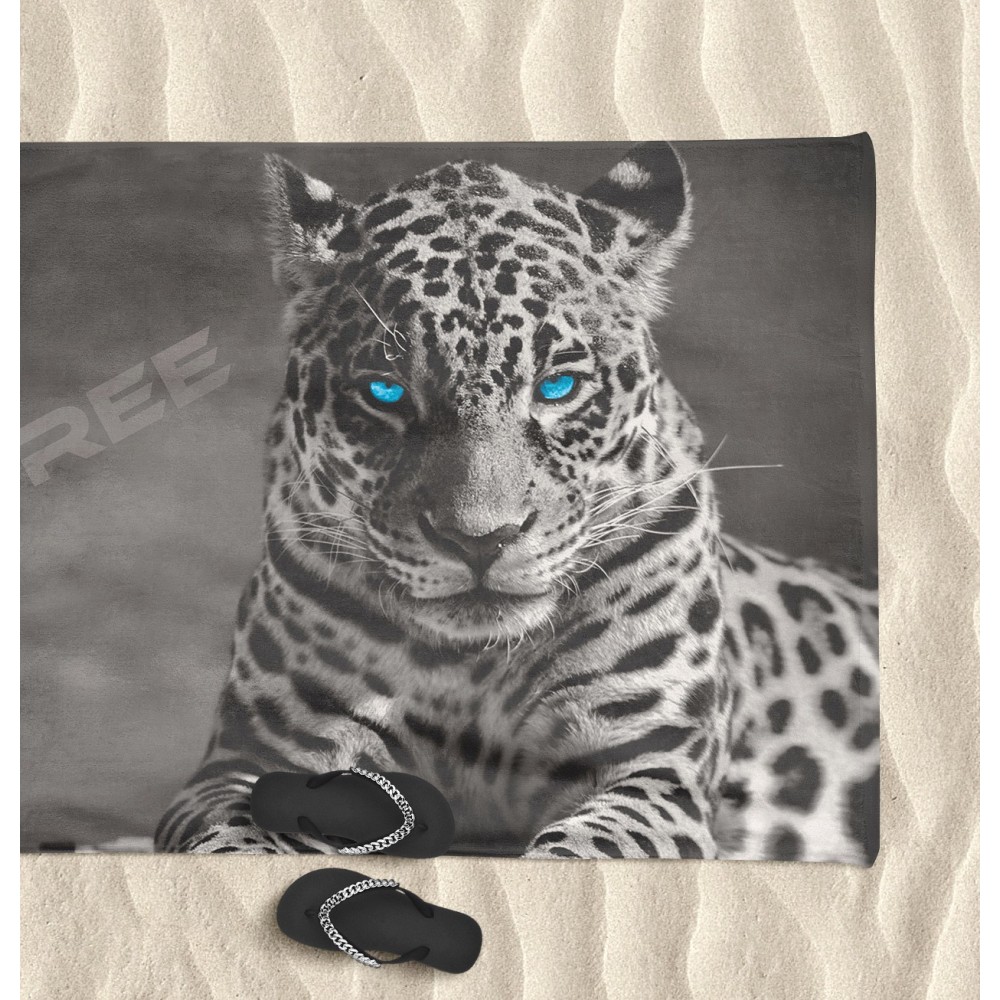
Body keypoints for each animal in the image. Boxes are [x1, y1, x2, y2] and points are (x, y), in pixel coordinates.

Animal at [155, 142, 879, 864]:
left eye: (558, 386)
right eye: (385, 393)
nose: (480, 539)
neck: (471, 666)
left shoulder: (650, 767)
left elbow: (585, 850)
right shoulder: (251, 758)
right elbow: (234, 836)